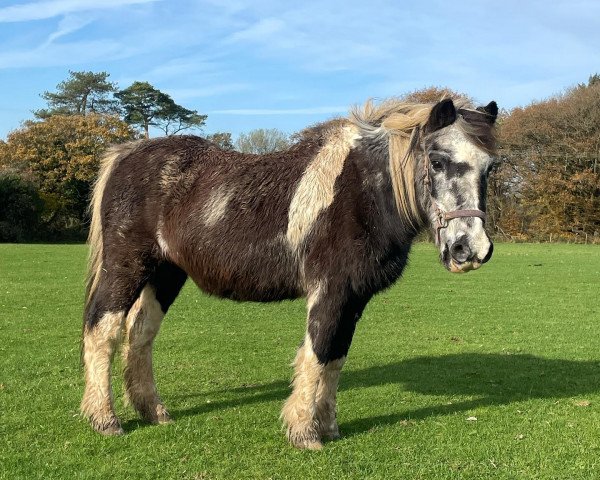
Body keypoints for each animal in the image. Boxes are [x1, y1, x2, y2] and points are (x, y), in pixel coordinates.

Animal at [82, 97, 500, 450]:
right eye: (437, 161)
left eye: (489, 167)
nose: (471, 250)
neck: (365, 193)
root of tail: (125, 154)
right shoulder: (330, 292)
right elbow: (317, 354)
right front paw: (303, 432)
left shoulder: (354, 299)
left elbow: (335, 359)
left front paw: (328, 427)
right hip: (126, 268)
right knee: (102, 329)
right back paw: (105, 419)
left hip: (165, 275)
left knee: (140, 334)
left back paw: (153, 412)